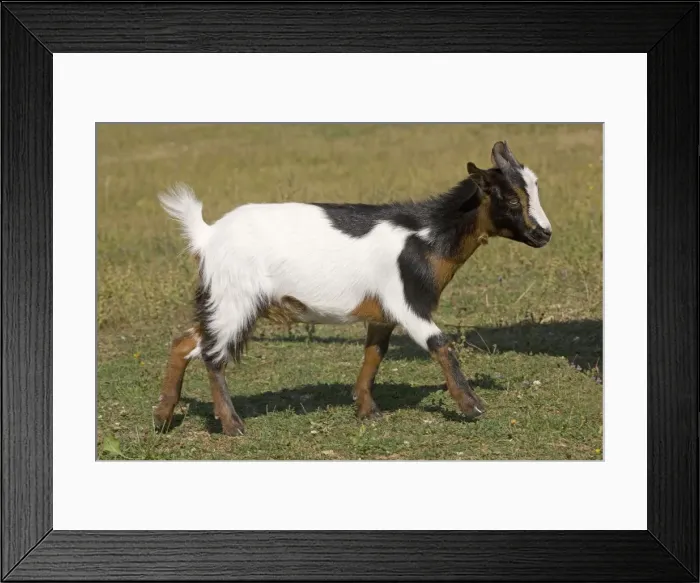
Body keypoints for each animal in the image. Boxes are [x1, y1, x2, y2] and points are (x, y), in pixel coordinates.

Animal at [153, 141, 552, 436]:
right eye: (512, 198)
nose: (544, 233)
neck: (427, 235)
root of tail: (207, 235)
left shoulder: (382, 313)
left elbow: (375, 353)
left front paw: (366, 409)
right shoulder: (407, 302)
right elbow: (441, 343)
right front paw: (472, 406)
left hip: (220, 298)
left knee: (186, 341)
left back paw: (163, 418)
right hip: (235, 297)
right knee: (212, 354)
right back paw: (232, 425)